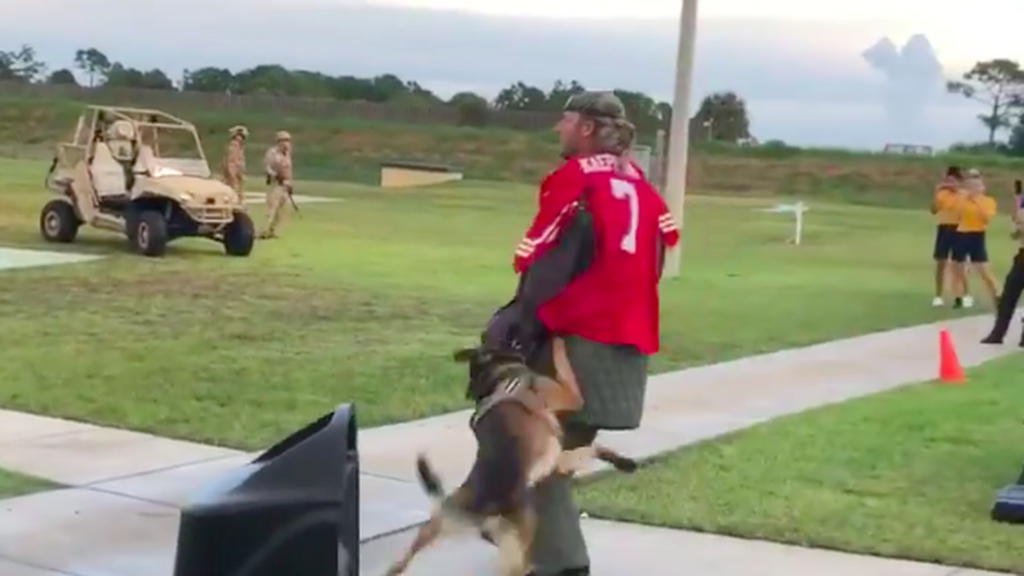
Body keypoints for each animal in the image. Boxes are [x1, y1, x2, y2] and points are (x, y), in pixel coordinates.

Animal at [385, 336, 638, 573]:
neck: (498, 376)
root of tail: (483, 511)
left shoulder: (558, 461)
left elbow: (592, 449)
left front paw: (623, 462)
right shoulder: (570, 396)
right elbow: (565, 367)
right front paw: (558, 340)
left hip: (448, 522)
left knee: (418, 539)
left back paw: (396, 567)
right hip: (517, 536)